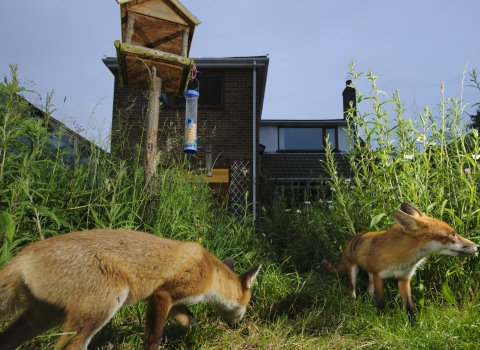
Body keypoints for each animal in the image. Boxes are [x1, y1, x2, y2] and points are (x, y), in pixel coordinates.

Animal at [0, 228, 262, 348]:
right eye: (246, 306)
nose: (239, 325)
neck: (210, 273)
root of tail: (23, 255)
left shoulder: (170, 298)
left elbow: (190, 320)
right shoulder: (162, 295)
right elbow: (154, 338)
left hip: (42, 319)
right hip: (104, 304)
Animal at [324, 204, 478, 324]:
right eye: (452, 234)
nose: (478, 246)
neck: (402, 259)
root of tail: (351, 238)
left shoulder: (404, 278)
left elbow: (409, 306)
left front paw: (413, 326)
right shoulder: (379, 276)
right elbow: (381, 301)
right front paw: (381, 320)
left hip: (370, 275)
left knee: (369, 291)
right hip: (353, 272)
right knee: (354, 290)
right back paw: (356, 303)